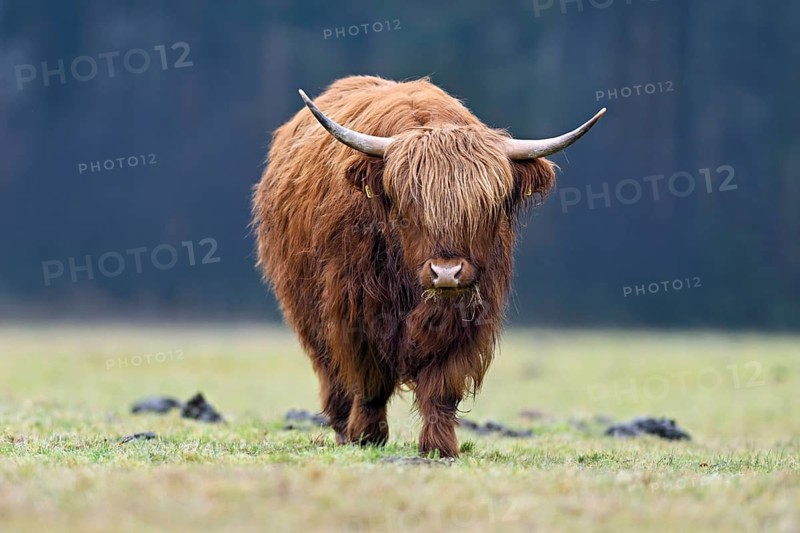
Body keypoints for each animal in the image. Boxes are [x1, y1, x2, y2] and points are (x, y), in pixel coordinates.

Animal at [252, 76, 604, 457]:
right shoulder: (354, 308)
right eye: (409, 207)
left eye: (484, 208)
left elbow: (442, 386)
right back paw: (344, 428)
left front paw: (438, 446)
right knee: (331, 371)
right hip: (305, 309)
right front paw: (367, 436)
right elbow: (369, 379)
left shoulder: (467, 317)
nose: (445, 273)